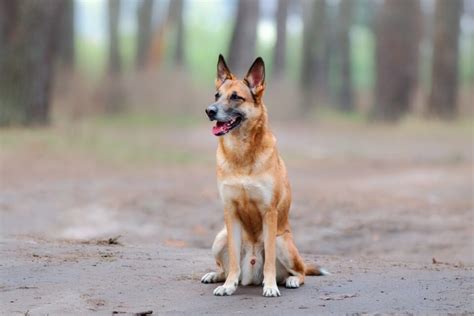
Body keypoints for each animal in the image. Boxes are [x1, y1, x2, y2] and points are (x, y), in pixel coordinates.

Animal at [200, 55, 326, 296]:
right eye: (217, 95)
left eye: (236, 97)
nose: (209, 110)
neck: (241, 154)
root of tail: (251, 277)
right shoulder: (230, 211)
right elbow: (232, 262)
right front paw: (228, 286)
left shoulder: (269, 212)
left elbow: (269, 263)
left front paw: (270, 287)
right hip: (221, 237)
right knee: (226, 266)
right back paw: (217, 276)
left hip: (281, 241)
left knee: (301, 272)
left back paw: (290, 280)